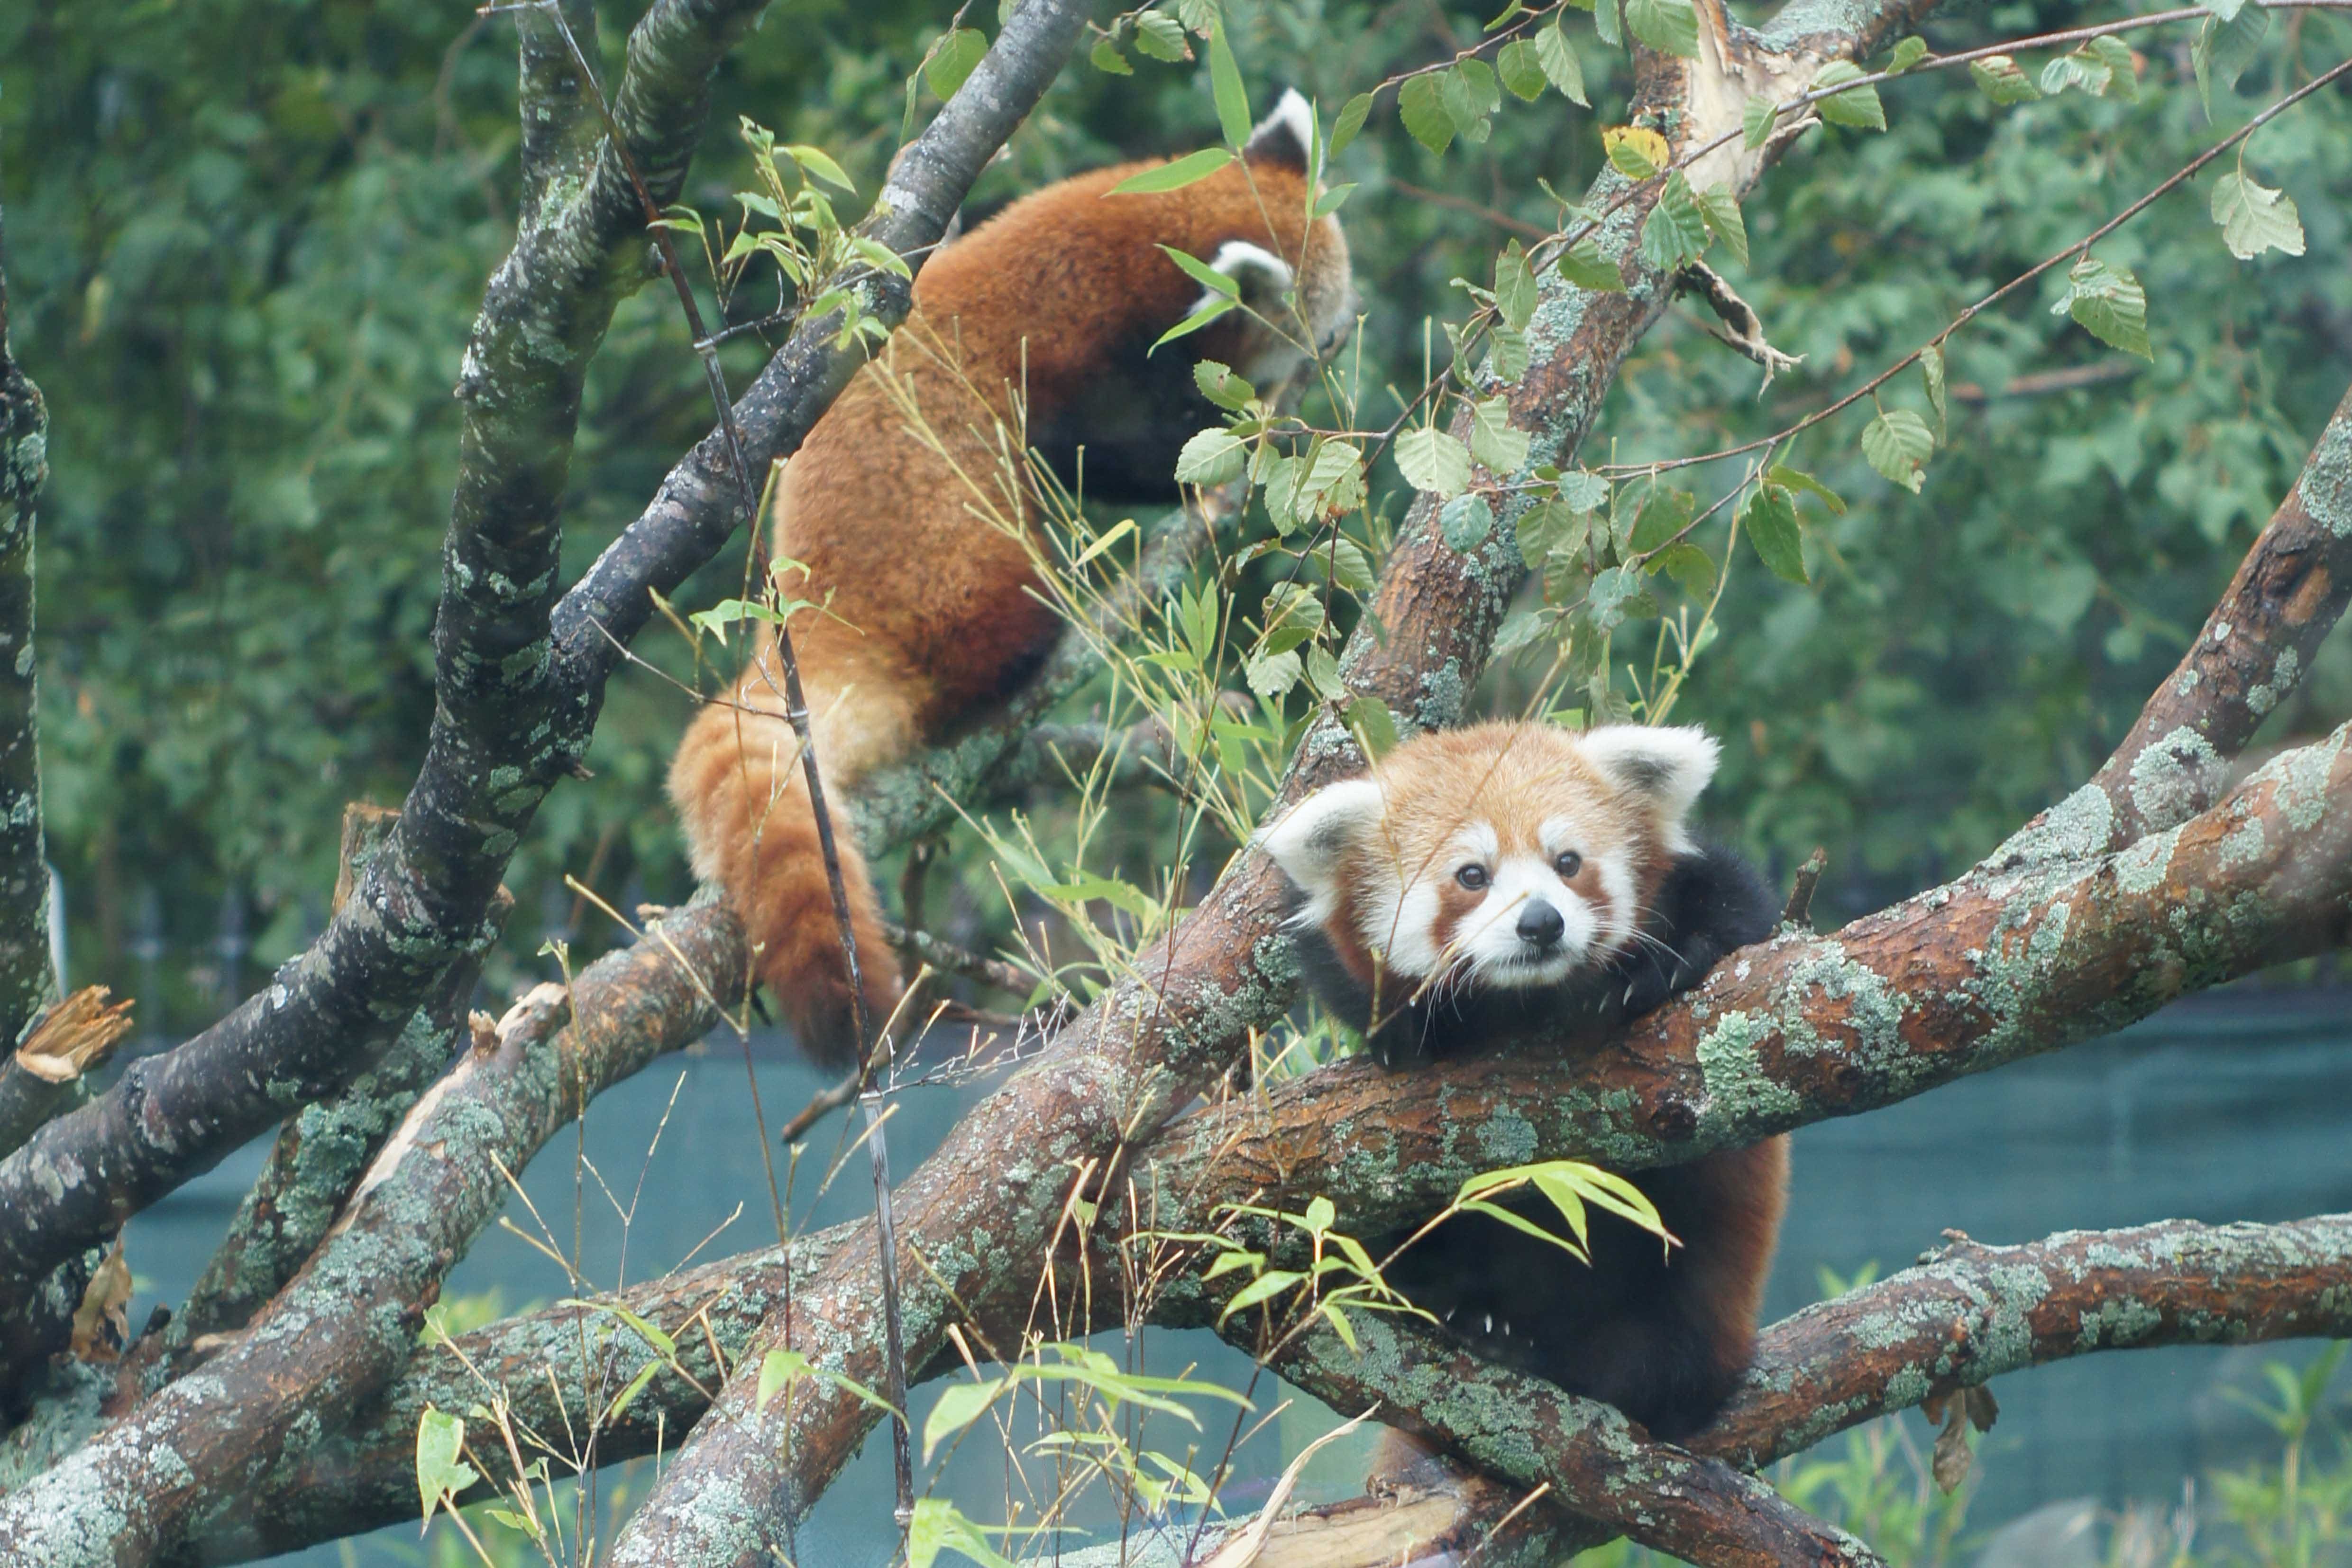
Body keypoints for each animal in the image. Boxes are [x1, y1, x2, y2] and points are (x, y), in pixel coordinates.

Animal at [668, 89, 1364, 1067]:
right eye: (1320, 332)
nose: (1342, 348)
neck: (1149, 230)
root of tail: (813, 622)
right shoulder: (1083, 347)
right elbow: (1110, 448)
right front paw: (1235, 452)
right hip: (947, 568)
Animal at [1270, 719, 1778, 1439]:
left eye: (1567, 861)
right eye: (1472, 875)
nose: (1541, 921)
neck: (1522, 1003)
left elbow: (1742, 914)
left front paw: (1658, 967)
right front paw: (1404, 1030)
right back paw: (1475, 1321)